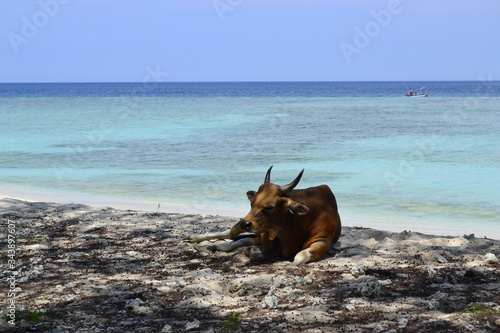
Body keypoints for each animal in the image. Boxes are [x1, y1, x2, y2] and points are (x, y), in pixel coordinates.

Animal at [186, 166, 342, 268]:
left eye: (270, 207)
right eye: (252, 203)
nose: (245, 223)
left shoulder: (322, 241)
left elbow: (301, 255)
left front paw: (290, 265)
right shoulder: (267, 234)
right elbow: (266, 252)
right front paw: (253, 252)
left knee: (244, 240)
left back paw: (218, 246)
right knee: (231, 233)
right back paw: (197, 239)